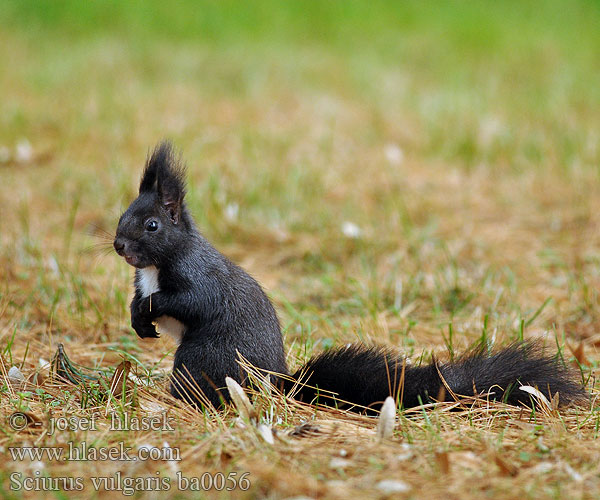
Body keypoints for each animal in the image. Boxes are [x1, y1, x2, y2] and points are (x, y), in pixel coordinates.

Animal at [113, 143, 584, 412]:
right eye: (122, 215)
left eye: (152, 225)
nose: (118, 245)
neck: (155, 267)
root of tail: (281, 386)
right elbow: (138, 300)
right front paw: (138, 317)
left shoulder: (200, 280)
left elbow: (189, 302)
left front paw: (152, 308)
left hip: (205, 358)